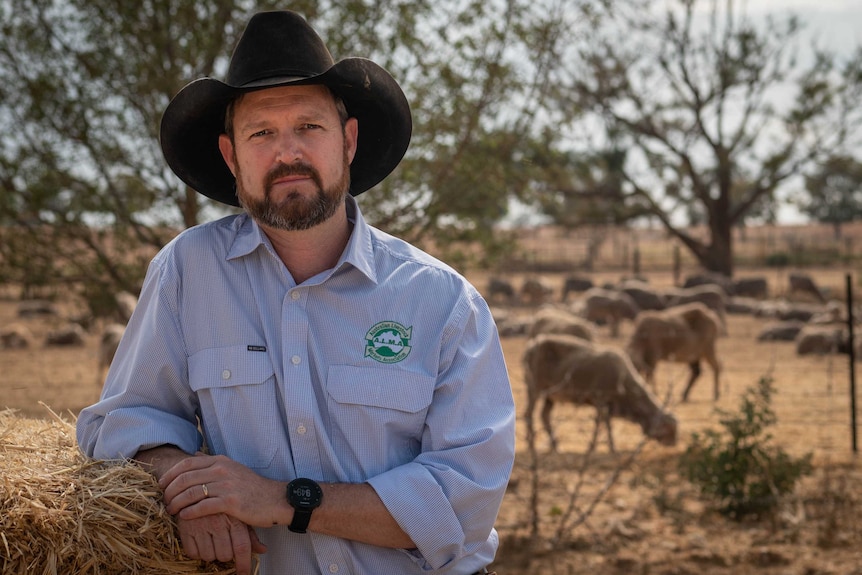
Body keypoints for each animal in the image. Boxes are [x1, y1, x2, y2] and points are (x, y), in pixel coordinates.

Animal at [524, 332, 680, 454]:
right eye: (669, 429)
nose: (673, 444)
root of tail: (530, 348)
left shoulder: (607, 404)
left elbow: (605, 423)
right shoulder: (600, 400)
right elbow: (601, 423)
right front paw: (603, 448)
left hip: (549, 396)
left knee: (544, 416)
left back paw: (556, 448)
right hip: (534, 389)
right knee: (528, 414)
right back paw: (531, 446)